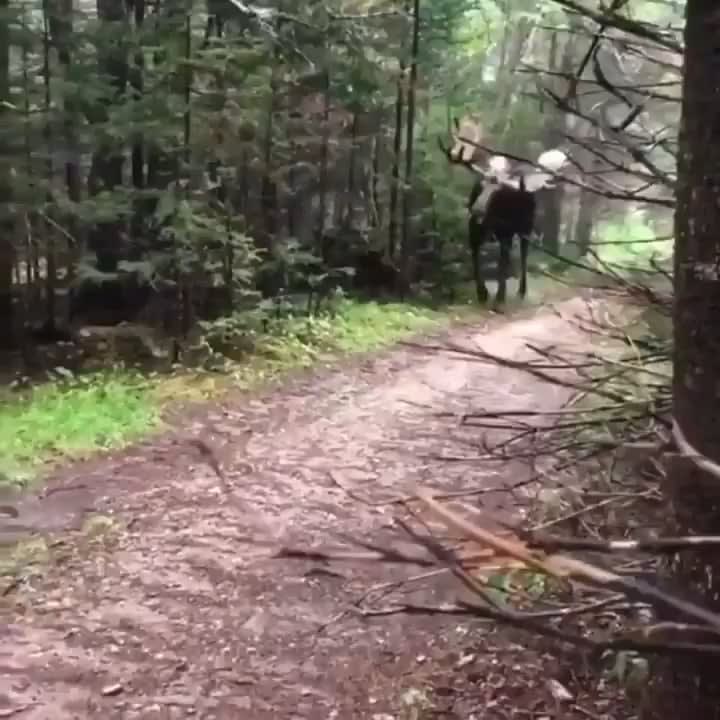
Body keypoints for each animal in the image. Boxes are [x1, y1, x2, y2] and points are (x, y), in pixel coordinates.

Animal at [440, 116, 568, 307]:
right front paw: (482, 293)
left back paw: (521, 290)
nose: (477, 210)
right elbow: (476, 258)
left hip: (525, 228)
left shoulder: (506, 233)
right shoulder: (474, 230)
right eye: (480, 185)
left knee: (522, 255)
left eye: (498, 193)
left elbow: (503, 262)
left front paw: (500, 295)